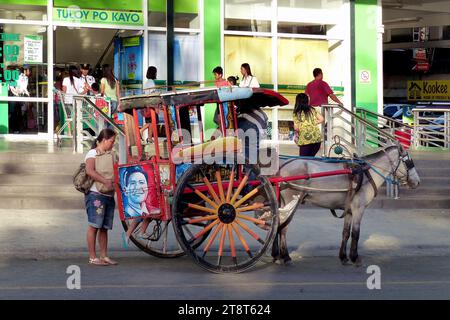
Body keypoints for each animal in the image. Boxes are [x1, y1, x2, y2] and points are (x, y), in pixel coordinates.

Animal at [266, 144, 420, 264]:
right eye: (409, 162)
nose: (417, 182)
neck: (367, 173)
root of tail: (282, 167)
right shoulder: (359, 209)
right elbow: (356, 233)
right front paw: (355, 257)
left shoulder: (350, 210)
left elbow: (346, 232)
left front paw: (343, 257)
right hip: (291, 201)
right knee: (283, 228)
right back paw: (285, 256)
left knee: (276, 225)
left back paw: (276, 255)